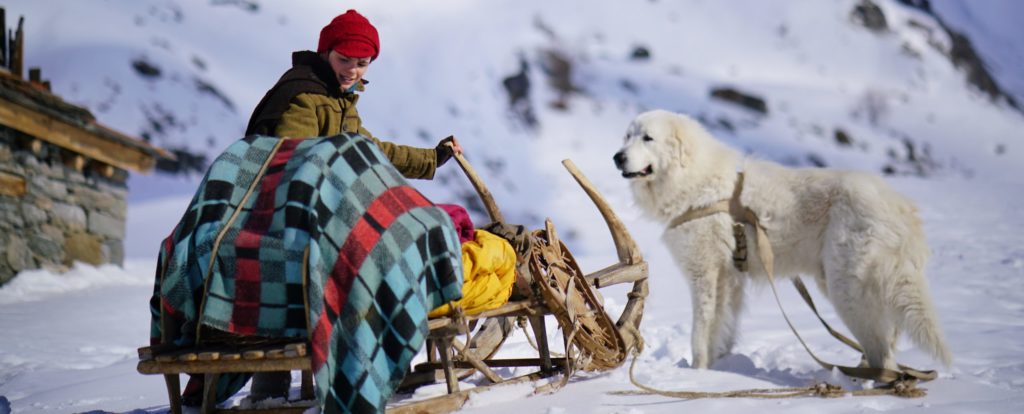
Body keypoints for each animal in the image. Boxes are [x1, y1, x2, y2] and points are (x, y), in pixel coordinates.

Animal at [606, 108, 950, 370]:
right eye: (627, 136)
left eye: (647, 138)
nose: (617, 157)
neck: (693, 181)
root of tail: (901, 208)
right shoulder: (730, 280)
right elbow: (722, 328)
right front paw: (719, 367)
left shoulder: (705, 274)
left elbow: (700, 332)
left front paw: (698, 372)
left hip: (847, 289)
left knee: (883, 352)